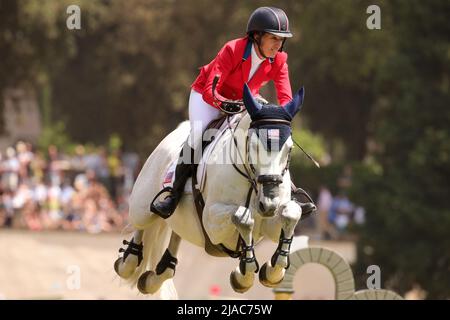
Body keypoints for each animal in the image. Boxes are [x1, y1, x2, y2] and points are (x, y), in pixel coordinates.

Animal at [114, 84, 308, 296]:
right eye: (254, 146)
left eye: (289, 149)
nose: (269, 203)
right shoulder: (212, 222)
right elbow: (243, 217)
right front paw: (244, 275)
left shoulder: (271, 223)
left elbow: (291, 214)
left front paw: (271, 272)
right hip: (142, 205)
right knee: (141, 225)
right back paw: (128, 262)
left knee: (173, 242)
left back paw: (155, 277)